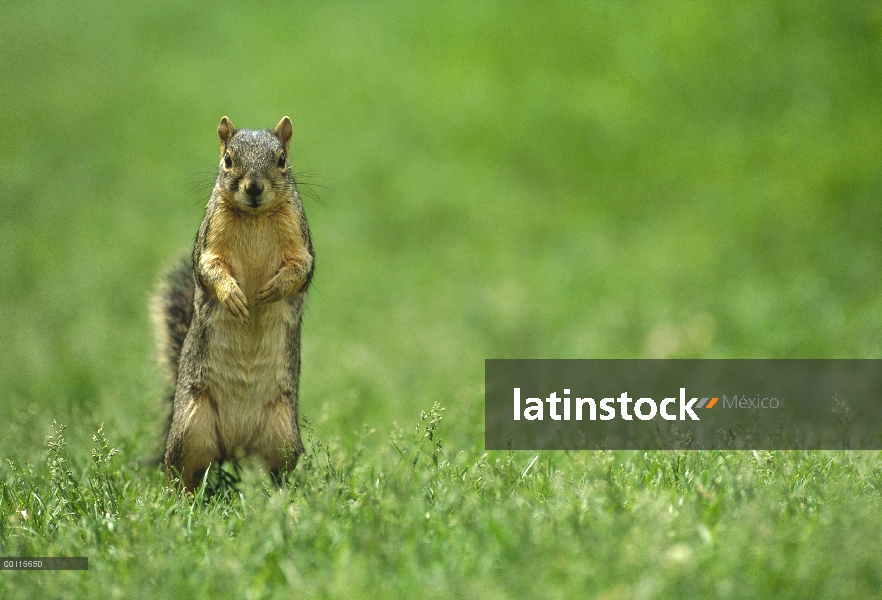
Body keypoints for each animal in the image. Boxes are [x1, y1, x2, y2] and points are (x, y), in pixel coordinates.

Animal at [150, 117, 312, 492]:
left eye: (281, 160)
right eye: (228, 160)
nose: (253, 188)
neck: (255, 216)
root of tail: (235, 445)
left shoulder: (301, 239)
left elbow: (301, 269)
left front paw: (273, 289)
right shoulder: (209, 239)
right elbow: (208, 269)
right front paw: (233, 296)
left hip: (282, 434)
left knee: (278, 473)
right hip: (189, 430)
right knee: (180, 474)